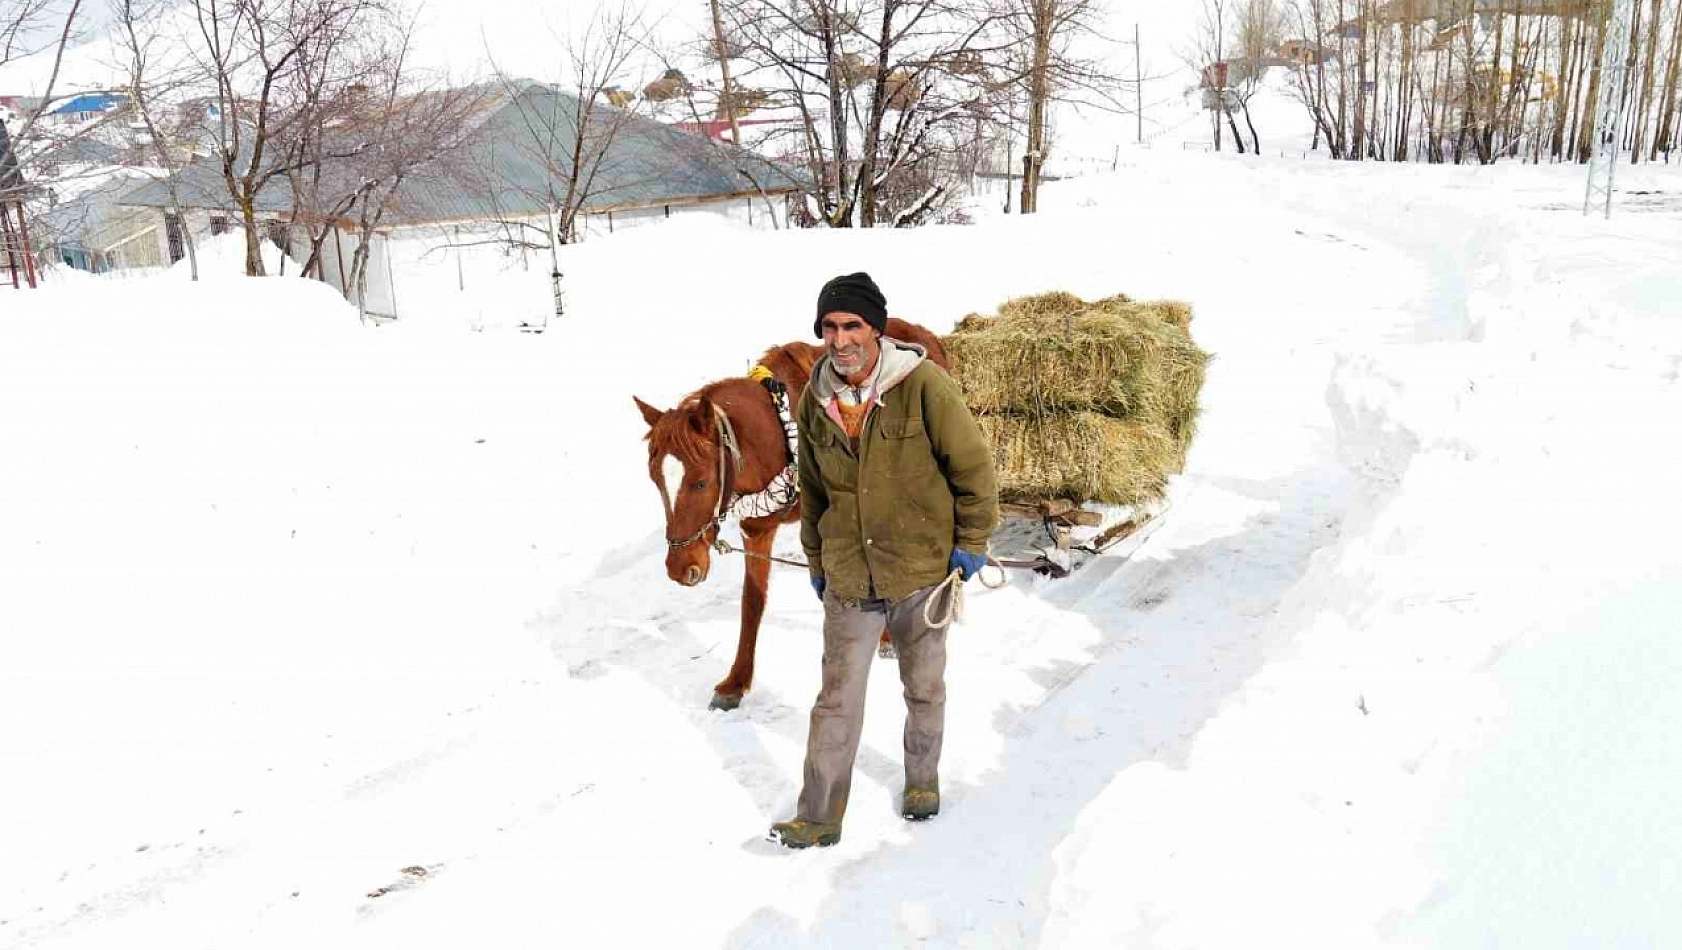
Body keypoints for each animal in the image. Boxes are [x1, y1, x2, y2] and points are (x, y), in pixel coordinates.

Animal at [632, 322, 948, 706]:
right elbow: (752, 601)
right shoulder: (757, 529)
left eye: (701, 482)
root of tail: (924, 333)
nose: (680, 568)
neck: (776, 434)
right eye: (655, 479)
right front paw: (736, 682)